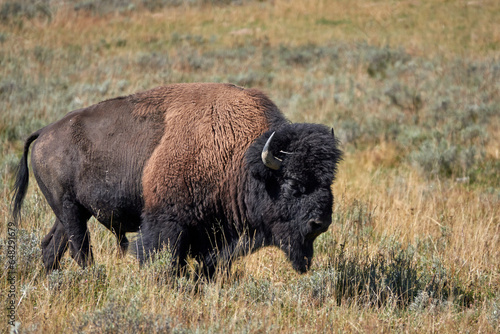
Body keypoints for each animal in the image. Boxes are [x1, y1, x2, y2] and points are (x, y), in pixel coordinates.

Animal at [11, 83, 342, 276]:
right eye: (293, 184)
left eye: (328, 183)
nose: (321, 222)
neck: (238, 156)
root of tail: (45, 132)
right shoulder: (167, 224)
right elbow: (165, 261)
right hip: (70, 209)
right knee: (80, 249)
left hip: (70, 212)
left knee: (52, 246)